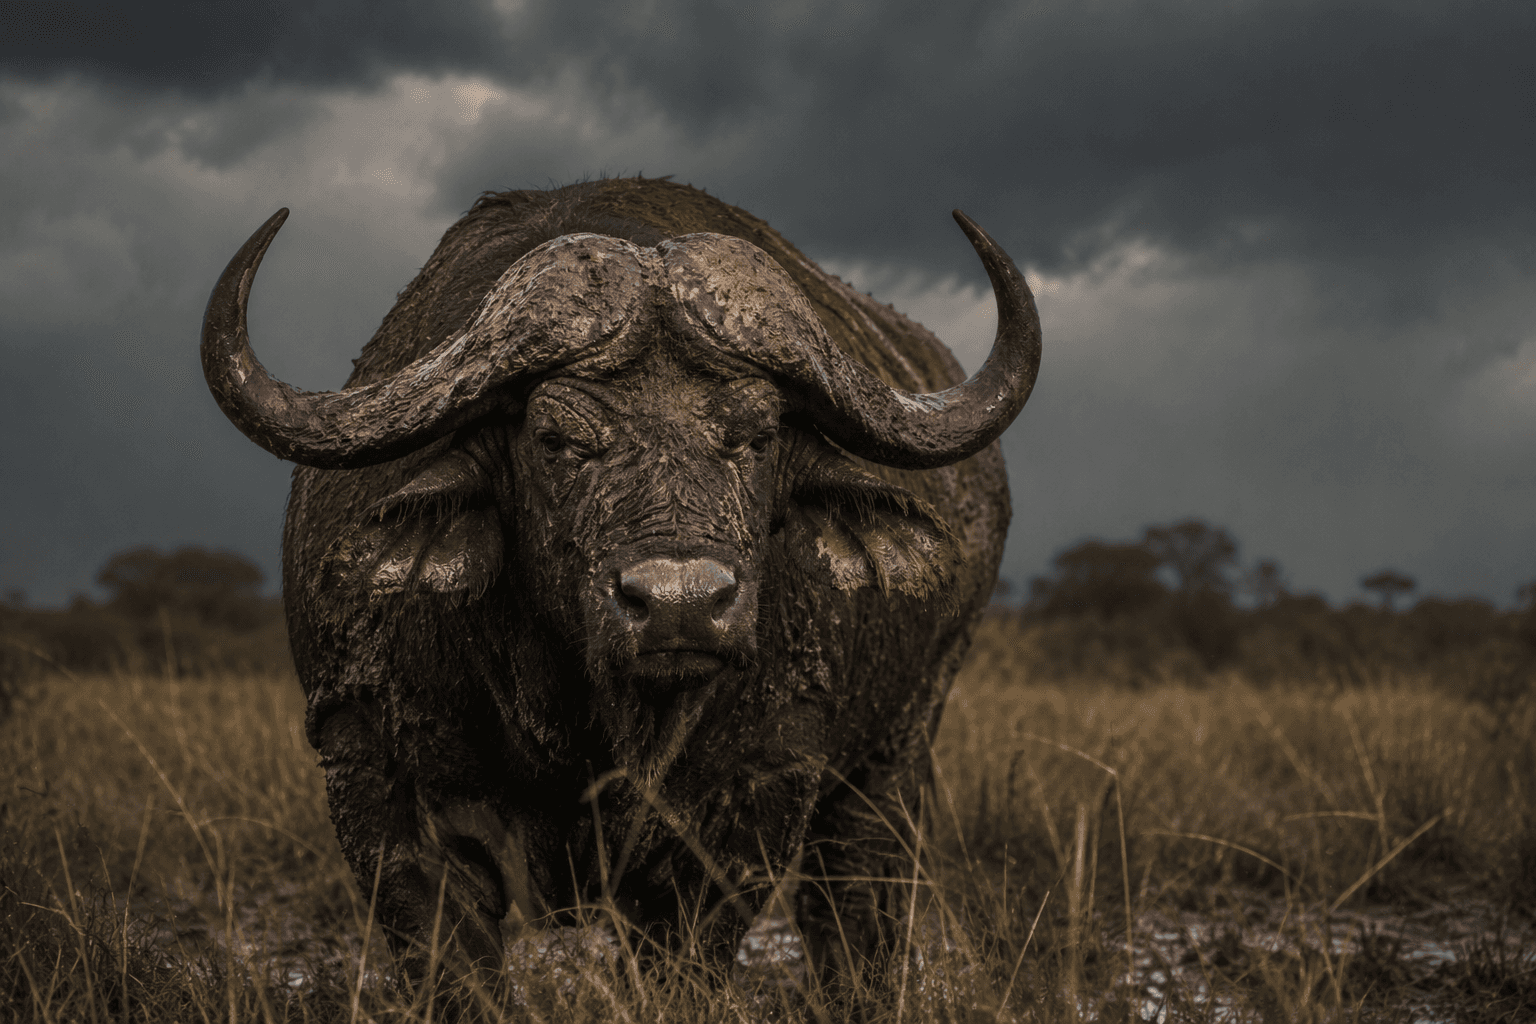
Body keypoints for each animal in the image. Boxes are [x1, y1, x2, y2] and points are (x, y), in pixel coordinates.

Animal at [201, 178, 1040, 986]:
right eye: (556, 438)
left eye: (758, 435)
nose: (681, 605)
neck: (586, 712)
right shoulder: (376, 778)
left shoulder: (757, 797)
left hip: (898, 749)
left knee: (856, 905)